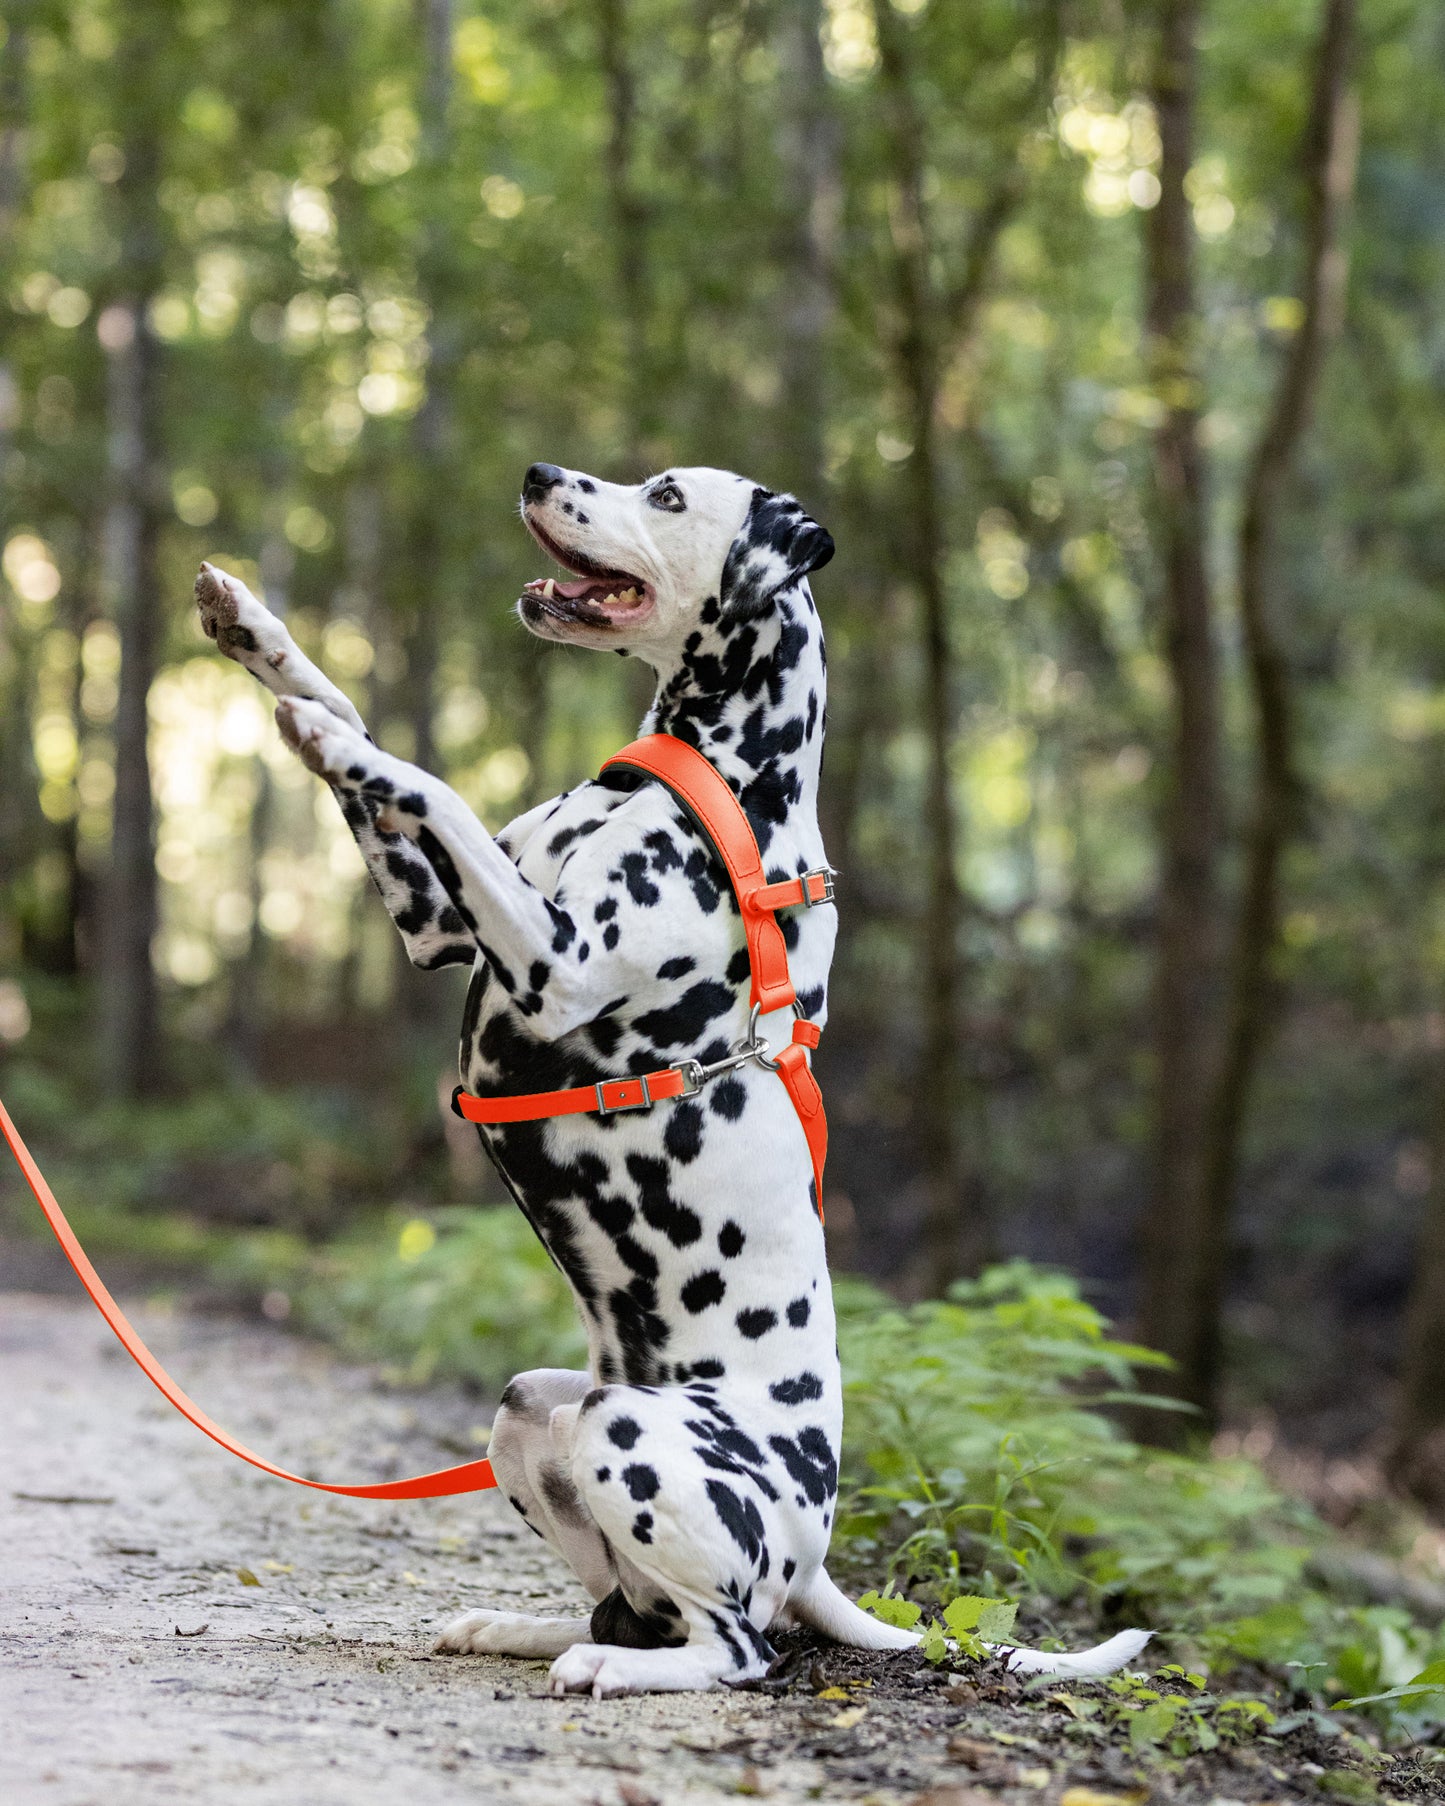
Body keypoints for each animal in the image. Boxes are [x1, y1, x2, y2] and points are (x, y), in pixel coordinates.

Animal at [195, 462, 1148, 1690]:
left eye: (665, 494)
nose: (538, 473)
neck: (716, 782)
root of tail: (812, 1555)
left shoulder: (551, 961)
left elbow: (424, 777)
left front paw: (320, 728)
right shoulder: (439, 924)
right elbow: (368, 724)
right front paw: (257, 637)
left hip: (630, 1438)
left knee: (736, 1651)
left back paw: (619, 1670)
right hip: (534, 1411)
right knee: (623, 1605)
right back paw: (525, 1631)